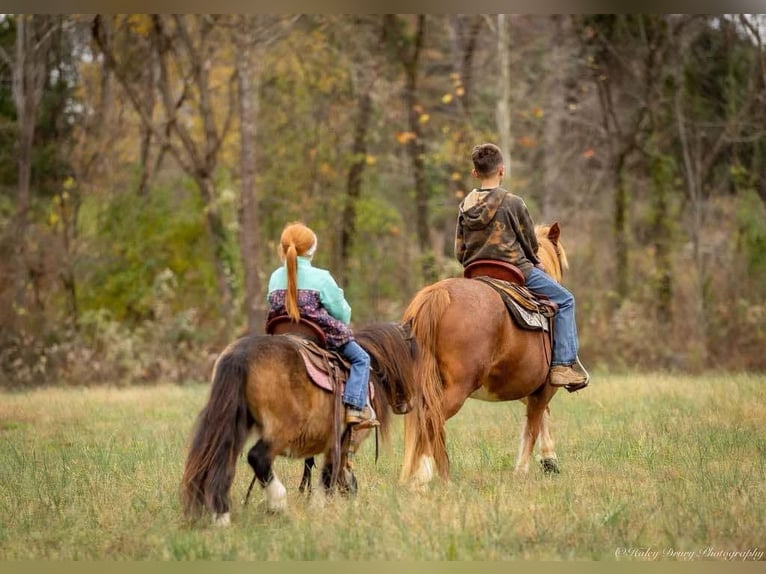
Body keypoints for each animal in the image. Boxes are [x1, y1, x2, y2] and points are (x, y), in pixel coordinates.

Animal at [182, 322, 416, 528]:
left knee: (221, 464)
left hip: (233, 426)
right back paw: (278, 504)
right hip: (281, 429)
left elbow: (345, 483)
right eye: (413, 353)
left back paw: (221, 518)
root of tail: (240, 355)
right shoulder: (342, 444)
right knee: (258, 457)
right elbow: (332, 478)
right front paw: (319, 510)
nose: (409, 404)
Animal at [402, 222, 576, 486]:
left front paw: (549, 462)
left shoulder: (529, 389)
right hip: (458, 387)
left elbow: (539, 418)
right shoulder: (544, 387)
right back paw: (432, 476)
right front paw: (524, 469)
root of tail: (438, 294)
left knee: (422, 421)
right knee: (433, 418)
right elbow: (533, 426)